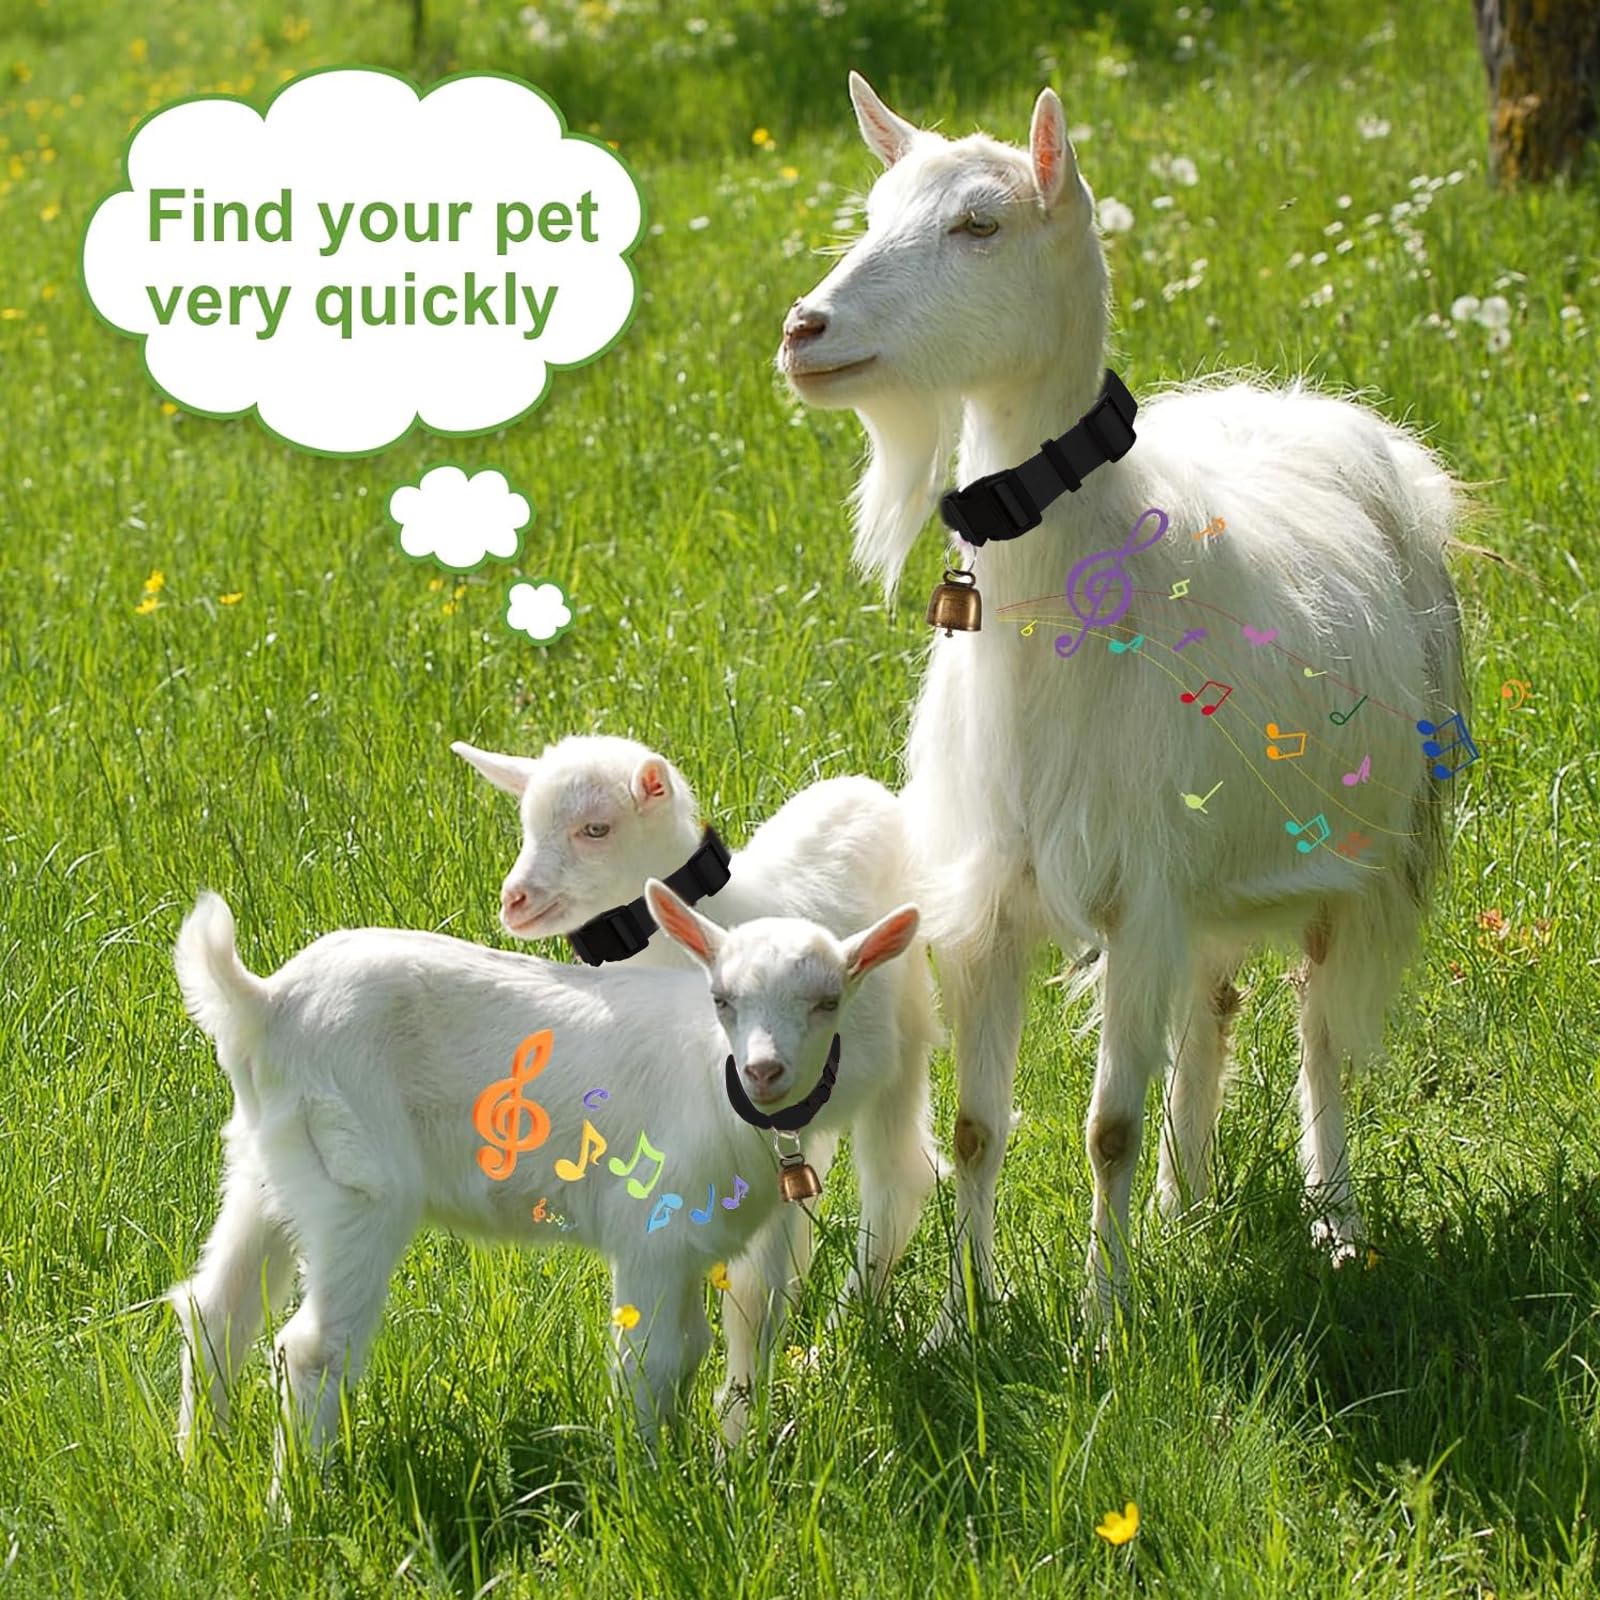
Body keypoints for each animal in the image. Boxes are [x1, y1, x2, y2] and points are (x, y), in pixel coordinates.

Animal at [169, 880, 921, 1493]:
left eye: (828, 1002)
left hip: (270, 1161)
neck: (715, 1079)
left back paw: (201, 1466)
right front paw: (651, 1493)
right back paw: (297, 1507)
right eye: (723, 1001)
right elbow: (649, 1360)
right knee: (314, 1346)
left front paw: (683, 1469)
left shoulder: (688, 1248)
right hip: (355, 1181)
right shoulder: (650, 1231)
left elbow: (689, 1353)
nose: (764, 1071)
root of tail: (264, 1004)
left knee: (217, 1308)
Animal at [452, 734, 944, 1426]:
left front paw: (737, 1424)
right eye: (525, 824)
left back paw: (841, 1337)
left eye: (596, 828)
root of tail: (863, 789)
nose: (513, 900)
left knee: (898, 1180)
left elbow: (751, 1292)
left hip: (906, 1036)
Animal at [779, 75, 1465, 1331]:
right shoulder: (994, 903)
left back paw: (1332, 1222)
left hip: (1354, 855)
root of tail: (1308, 406)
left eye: (980, 224)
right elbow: (975, 1127)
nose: (805, 331)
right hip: (1201, 873)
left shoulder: (1135, 892)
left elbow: (1106, 1126)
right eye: (876, 208)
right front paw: (962, 1321)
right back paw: (1185, 1204)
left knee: (1319, 1032)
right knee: (1215, 1004)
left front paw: (1104, 1327)